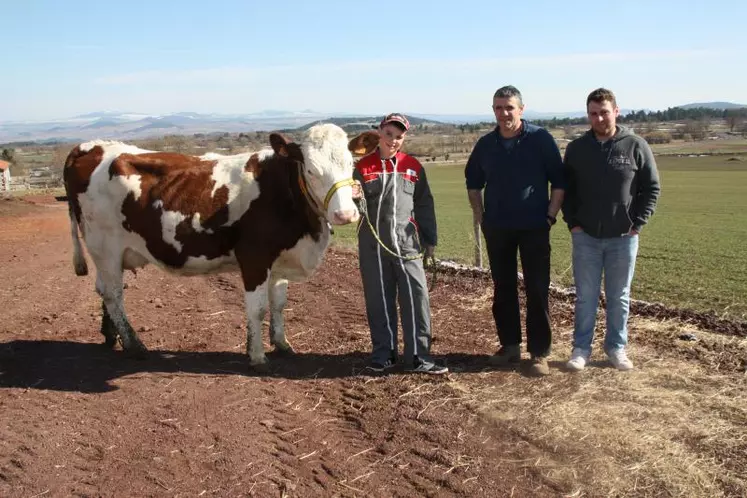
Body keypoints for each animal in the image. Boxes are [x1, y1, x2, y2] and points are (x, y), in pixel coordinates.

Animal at [62, 124, 380, 370]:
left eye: (351, 165)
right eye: (311, 170)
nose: (345, 214)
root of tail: (92, 146)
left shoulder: (280, 260)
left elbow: (278, 304)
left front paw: (282, 344)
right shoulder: (254, 258)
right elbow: (258, 308)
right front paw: (257, 356)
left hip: (106, 254)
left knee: (103, 290)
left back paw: (111, 336)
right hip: (105, 247)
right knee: (114, 295)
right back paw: (133, 344)